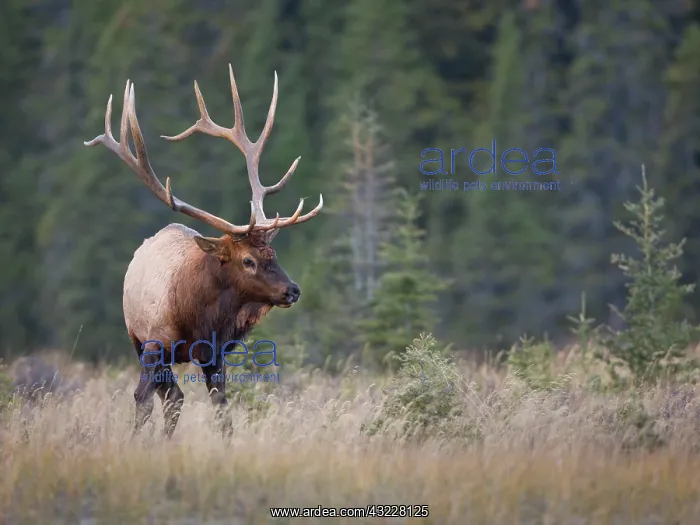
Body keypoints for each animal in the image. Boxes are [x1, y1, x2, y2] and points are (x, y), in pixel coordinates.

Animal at [84, 64, 323, 438]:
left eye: (274, 254)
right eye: (248, 260)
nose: (292, 290)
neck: (196, 314)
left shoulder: (216, 354)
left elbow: (222, 409)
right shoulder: (154, 343)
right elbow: (141, 400)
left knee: (175, 397)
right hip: (137, 338)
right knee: (167, 396)